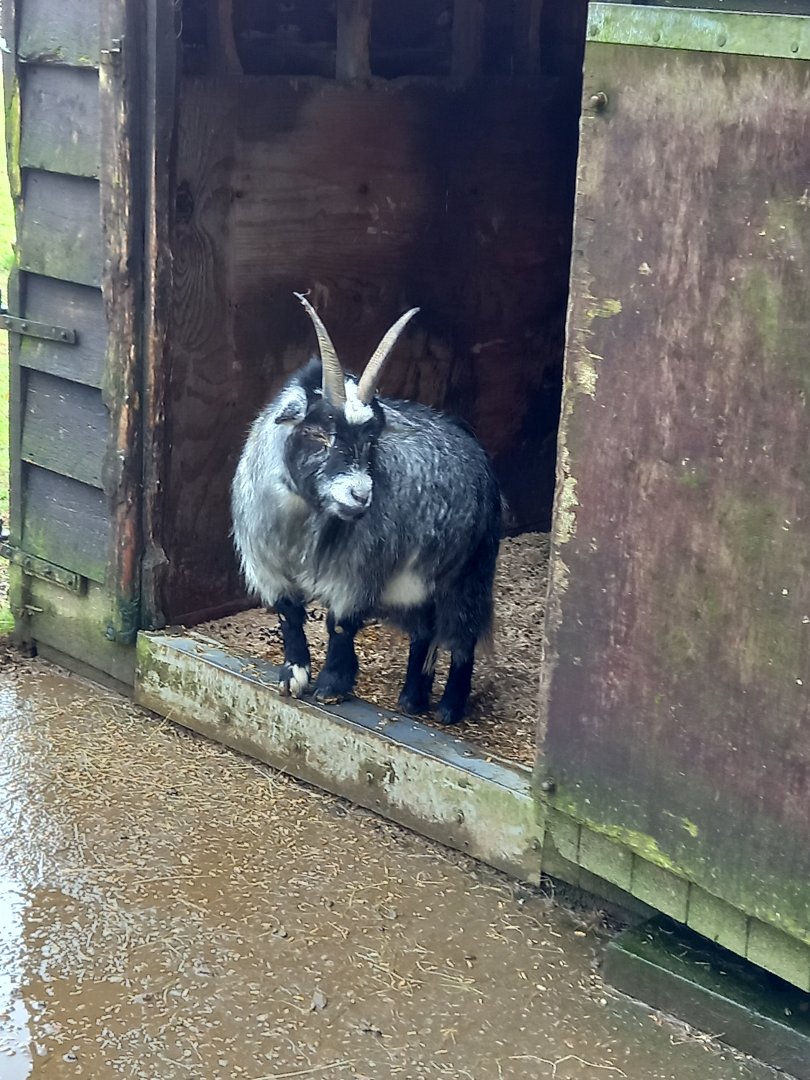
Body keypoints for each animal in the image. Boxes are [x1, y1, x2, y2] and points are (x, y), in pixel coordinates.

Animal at [231, 295, 502, 724]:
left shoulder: (356, 573)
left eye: (372, 440)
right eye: (318, 434)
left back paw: (449, 708)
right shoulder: (268, 567)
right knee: (423, 631)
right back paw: (412, 698)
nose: (360, 495)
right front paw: (293, 675)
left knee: (462, 636)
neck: (299, 528)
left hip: (468, 574)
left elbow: (340, 625)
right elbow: (289, 616)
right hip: (412, 583)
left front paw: (332, 685)